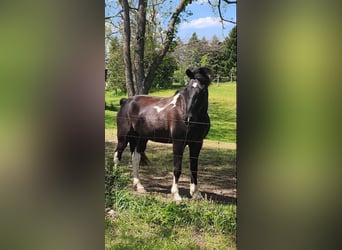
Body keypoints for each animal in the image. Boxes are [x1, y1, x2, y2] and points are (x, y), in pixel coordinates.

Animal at [113, 67, 212, 201]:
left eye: (202, 91)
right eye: (187, 90)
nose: (187, 118)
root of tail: (125, 101)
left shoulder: (197, 143)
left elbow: (194, 168)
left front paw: (196, 193)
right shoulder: (178, 142)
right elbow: (177, 168)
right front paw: (176, 195)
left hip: (141, 138)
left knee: (135, 157)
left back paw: (139, 186)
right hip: (123, 136)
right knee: (117, 155)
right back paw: (115, 179)